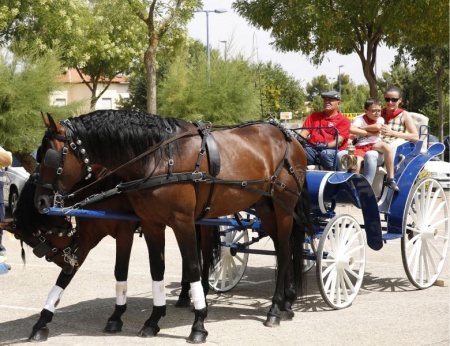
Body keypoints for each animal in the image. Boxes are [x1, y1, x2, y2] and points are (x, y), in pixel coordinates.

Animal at [35, 111, 312, 344]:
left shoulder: (181, 221)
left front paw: (199, 324)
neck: (160, 157)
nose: (41, 201)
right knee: (284, 249)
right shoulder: (151, 224)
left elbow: (192, 267)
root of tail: (289, 136)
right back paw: (286, 304)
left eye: (50, 156)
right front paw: (153, 320)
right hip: (266, 209)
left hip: (283, 209)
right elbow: (156, 268)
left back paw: (275, 308)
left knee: (284, 252)